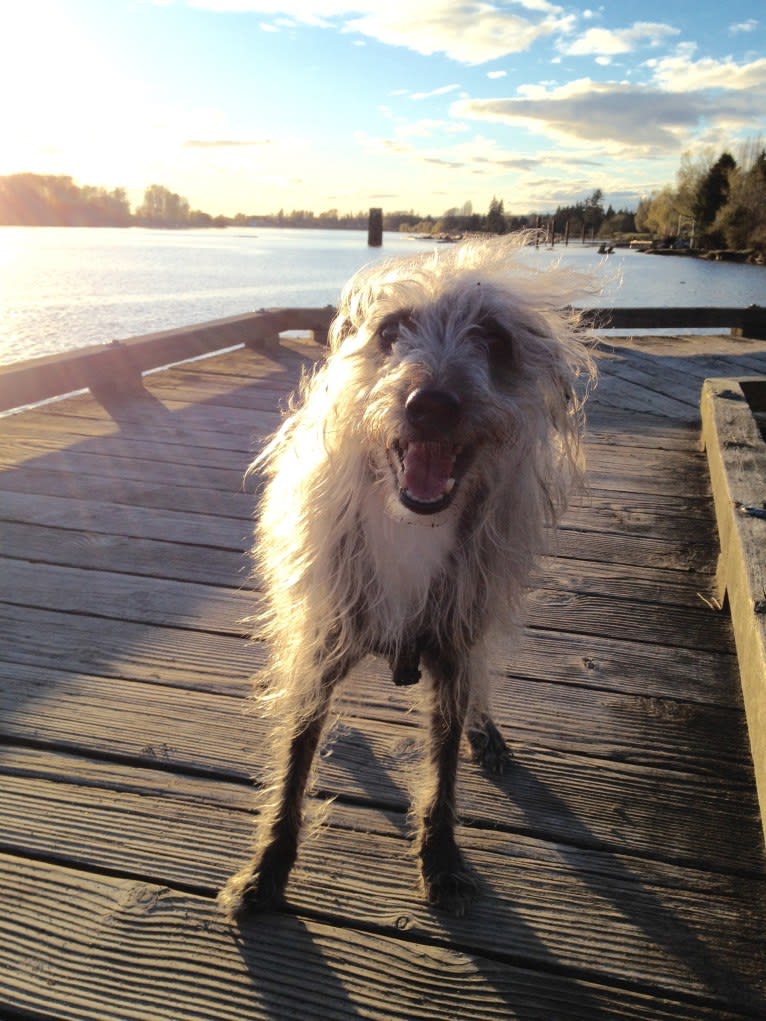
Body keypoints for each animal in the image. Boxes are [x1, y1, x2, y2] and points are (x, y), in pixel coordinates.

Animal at [218, 236, 596, 918]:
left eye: (494, 338)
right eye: (392, 331)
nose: (431, 405)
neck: (413, 525)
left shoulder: (453, 647)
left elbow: (443, 765)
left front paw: (441, 857)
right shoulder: (324, 640)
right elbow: (295, 759)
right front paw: (268, 866)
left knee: (477, 688)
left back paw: (487, 731)